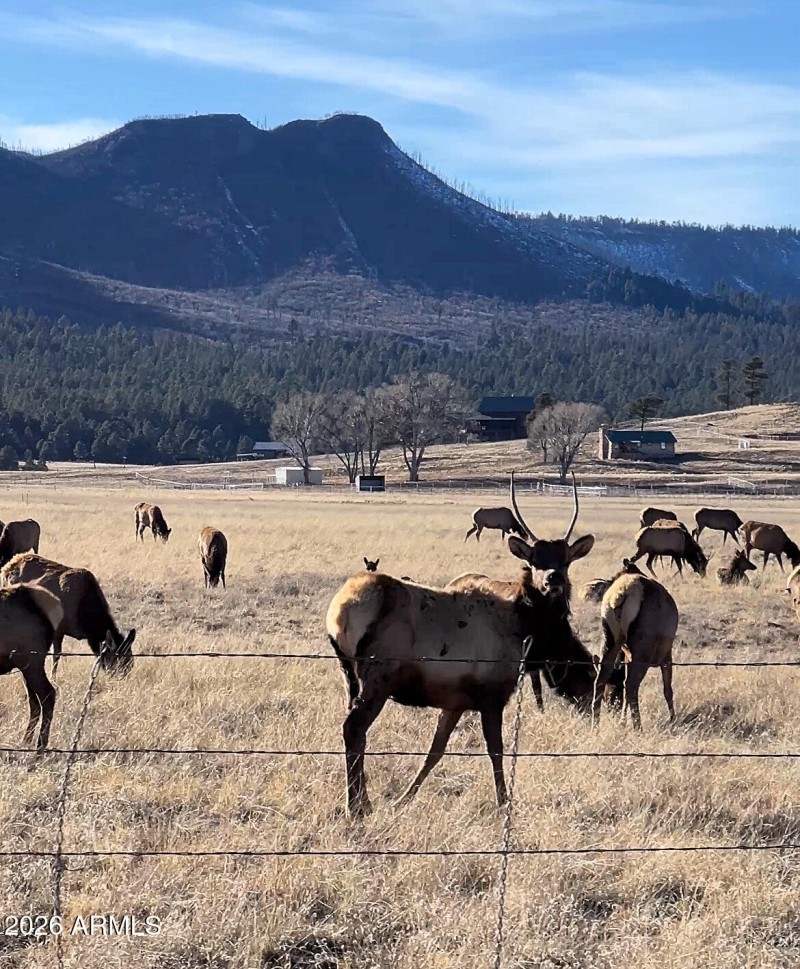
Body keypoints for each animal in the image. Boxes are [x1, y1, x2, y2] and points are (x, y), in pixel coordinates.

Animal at [0, 553, 136, 677]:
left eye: (130, 662)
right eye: (118, 663)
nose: (123, 678)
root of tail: (6, 568)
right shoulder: (58, 629)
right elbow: (56, 656)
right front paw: (53, 677)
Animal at [0, 583, 64, 749]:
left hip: (31, 661)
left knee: (48, 694)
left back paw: (40, 746)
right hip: (26, 666)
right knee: (34, 702)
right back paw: (26, 741)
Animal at [326, 472, 596, 817]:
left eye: (566, 561)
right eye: (534, 560)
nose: (554, 580)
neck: (528, 636)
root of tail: (339, 610)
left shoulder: (455, 701)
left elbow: (435, 751)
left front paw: (403, 799)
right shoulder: (492, 694)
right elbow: (496, 751)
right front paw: (504, 803)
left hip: (348, 674)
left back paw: (363, 801)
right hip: (378, 677)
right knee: (354, 729)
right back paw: (357, 806)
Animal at [593, 566, 680, 730]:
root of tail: (619, 596)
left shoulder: (627, 656)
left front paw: (622, 722)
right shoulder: (666, 656)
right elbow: (668, 689)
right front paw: (673, 720)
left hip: (610, 639)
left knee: (600, 681)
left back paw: (595, 726)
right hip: (642, 651)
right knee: (632, 685)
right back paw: (638, 728)